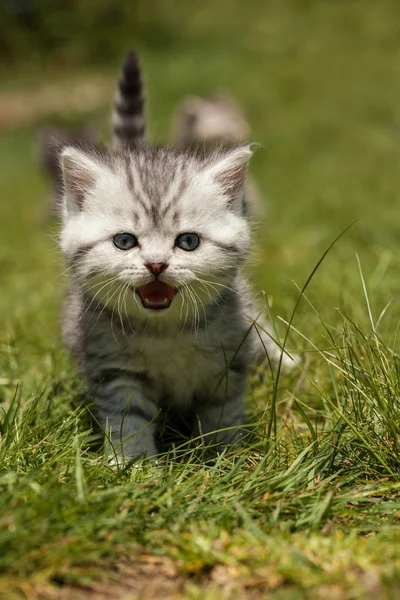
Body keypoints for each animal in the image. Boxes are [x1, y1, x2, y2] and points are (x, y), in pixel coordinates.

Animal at [58, 52, 290, 464]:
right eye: (124, 241)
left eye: (188, 242)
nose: (156, 264)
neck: (165, 332)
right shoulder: (115, 370)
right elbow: (128, 417)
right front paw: (133, 464)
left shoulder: (227, 362)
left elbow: (221, 413)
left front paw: (220, 458)